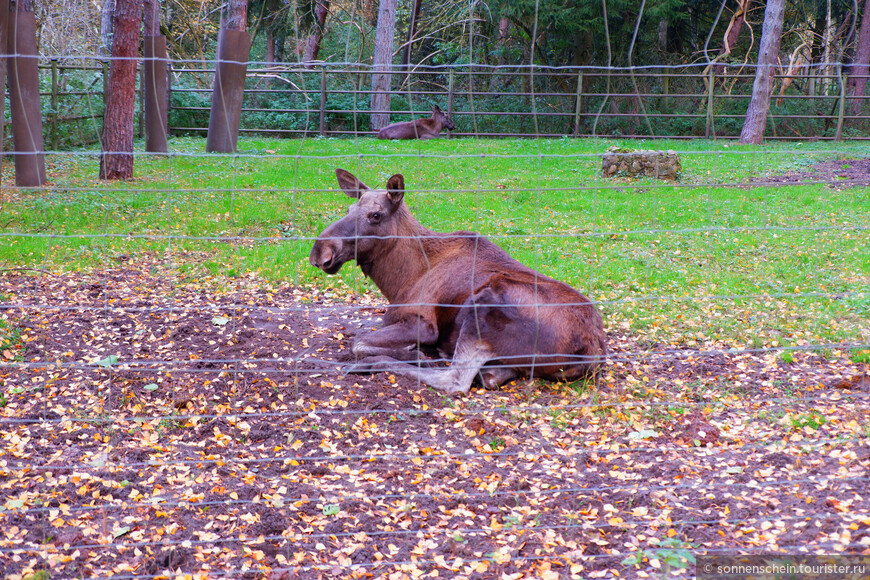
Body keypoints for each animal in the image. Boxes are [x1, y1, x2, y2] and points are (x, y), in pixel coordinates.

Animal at [310, 168, 608, 394]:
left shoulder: (423, 323)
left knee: (455, 381)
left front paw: (411, 353)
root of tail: (592, 351)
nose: (320, 252)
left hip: (484, 305)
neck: (399, 280)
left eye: (375, 215)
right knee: (489, 377)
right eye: (349, 208)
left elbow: (358, 342)